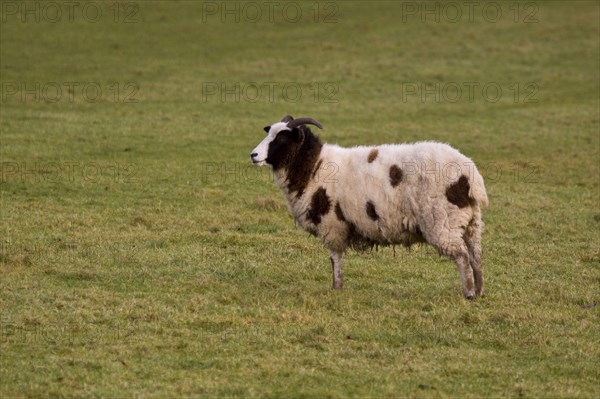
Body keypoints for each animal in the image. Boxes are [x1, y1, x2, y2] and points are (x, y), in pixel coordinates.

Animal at [248, 115, 488, 300]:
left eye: (281, 138)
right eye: (269, 133)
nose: (253, 155)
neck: (314, 166)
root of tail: (470, 175)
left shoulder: (332, 224)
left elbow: (335, 259)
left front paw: (336, 288)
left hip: (443, 221)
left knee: (462, 257)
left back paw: (469, 294)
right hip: (471, 221)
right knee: (476, 256)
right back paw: (479, 292)